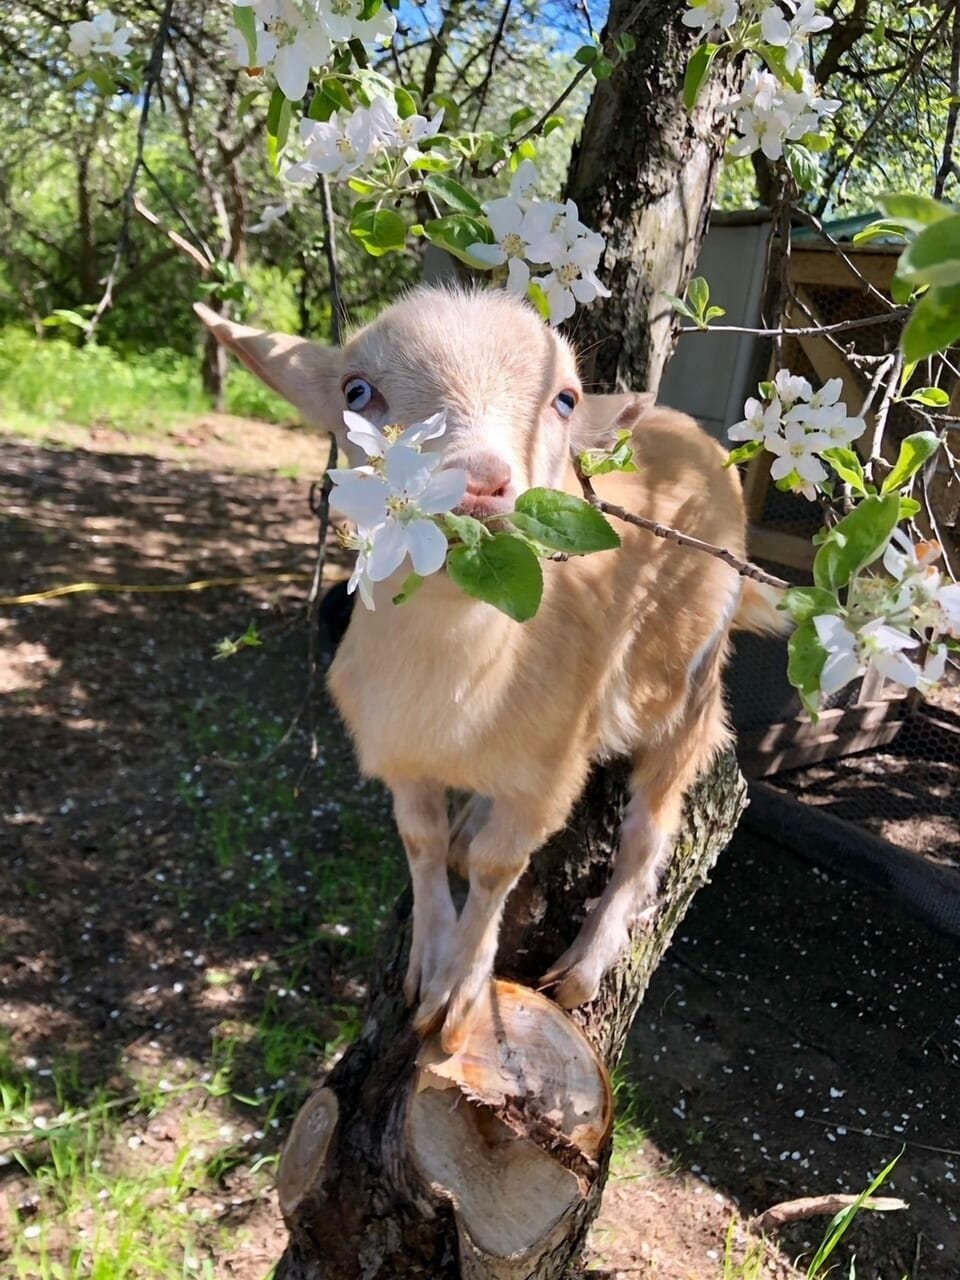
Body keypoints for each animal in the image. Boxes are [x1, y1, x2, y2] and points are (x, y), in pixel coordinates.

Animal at [196, 286, 782, 1054]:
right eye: (357, 392)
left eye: (563, 399)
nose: (476, 484)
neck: (460, 678)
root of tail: (691, 430)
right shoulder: (398, 750)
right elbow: (421, 840)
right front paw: (426, 963)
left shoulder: (548, 776)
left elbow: (498, 866)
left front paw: (457, 993)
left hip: (690, 687)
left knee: (652, 830)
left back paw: (585, 965)